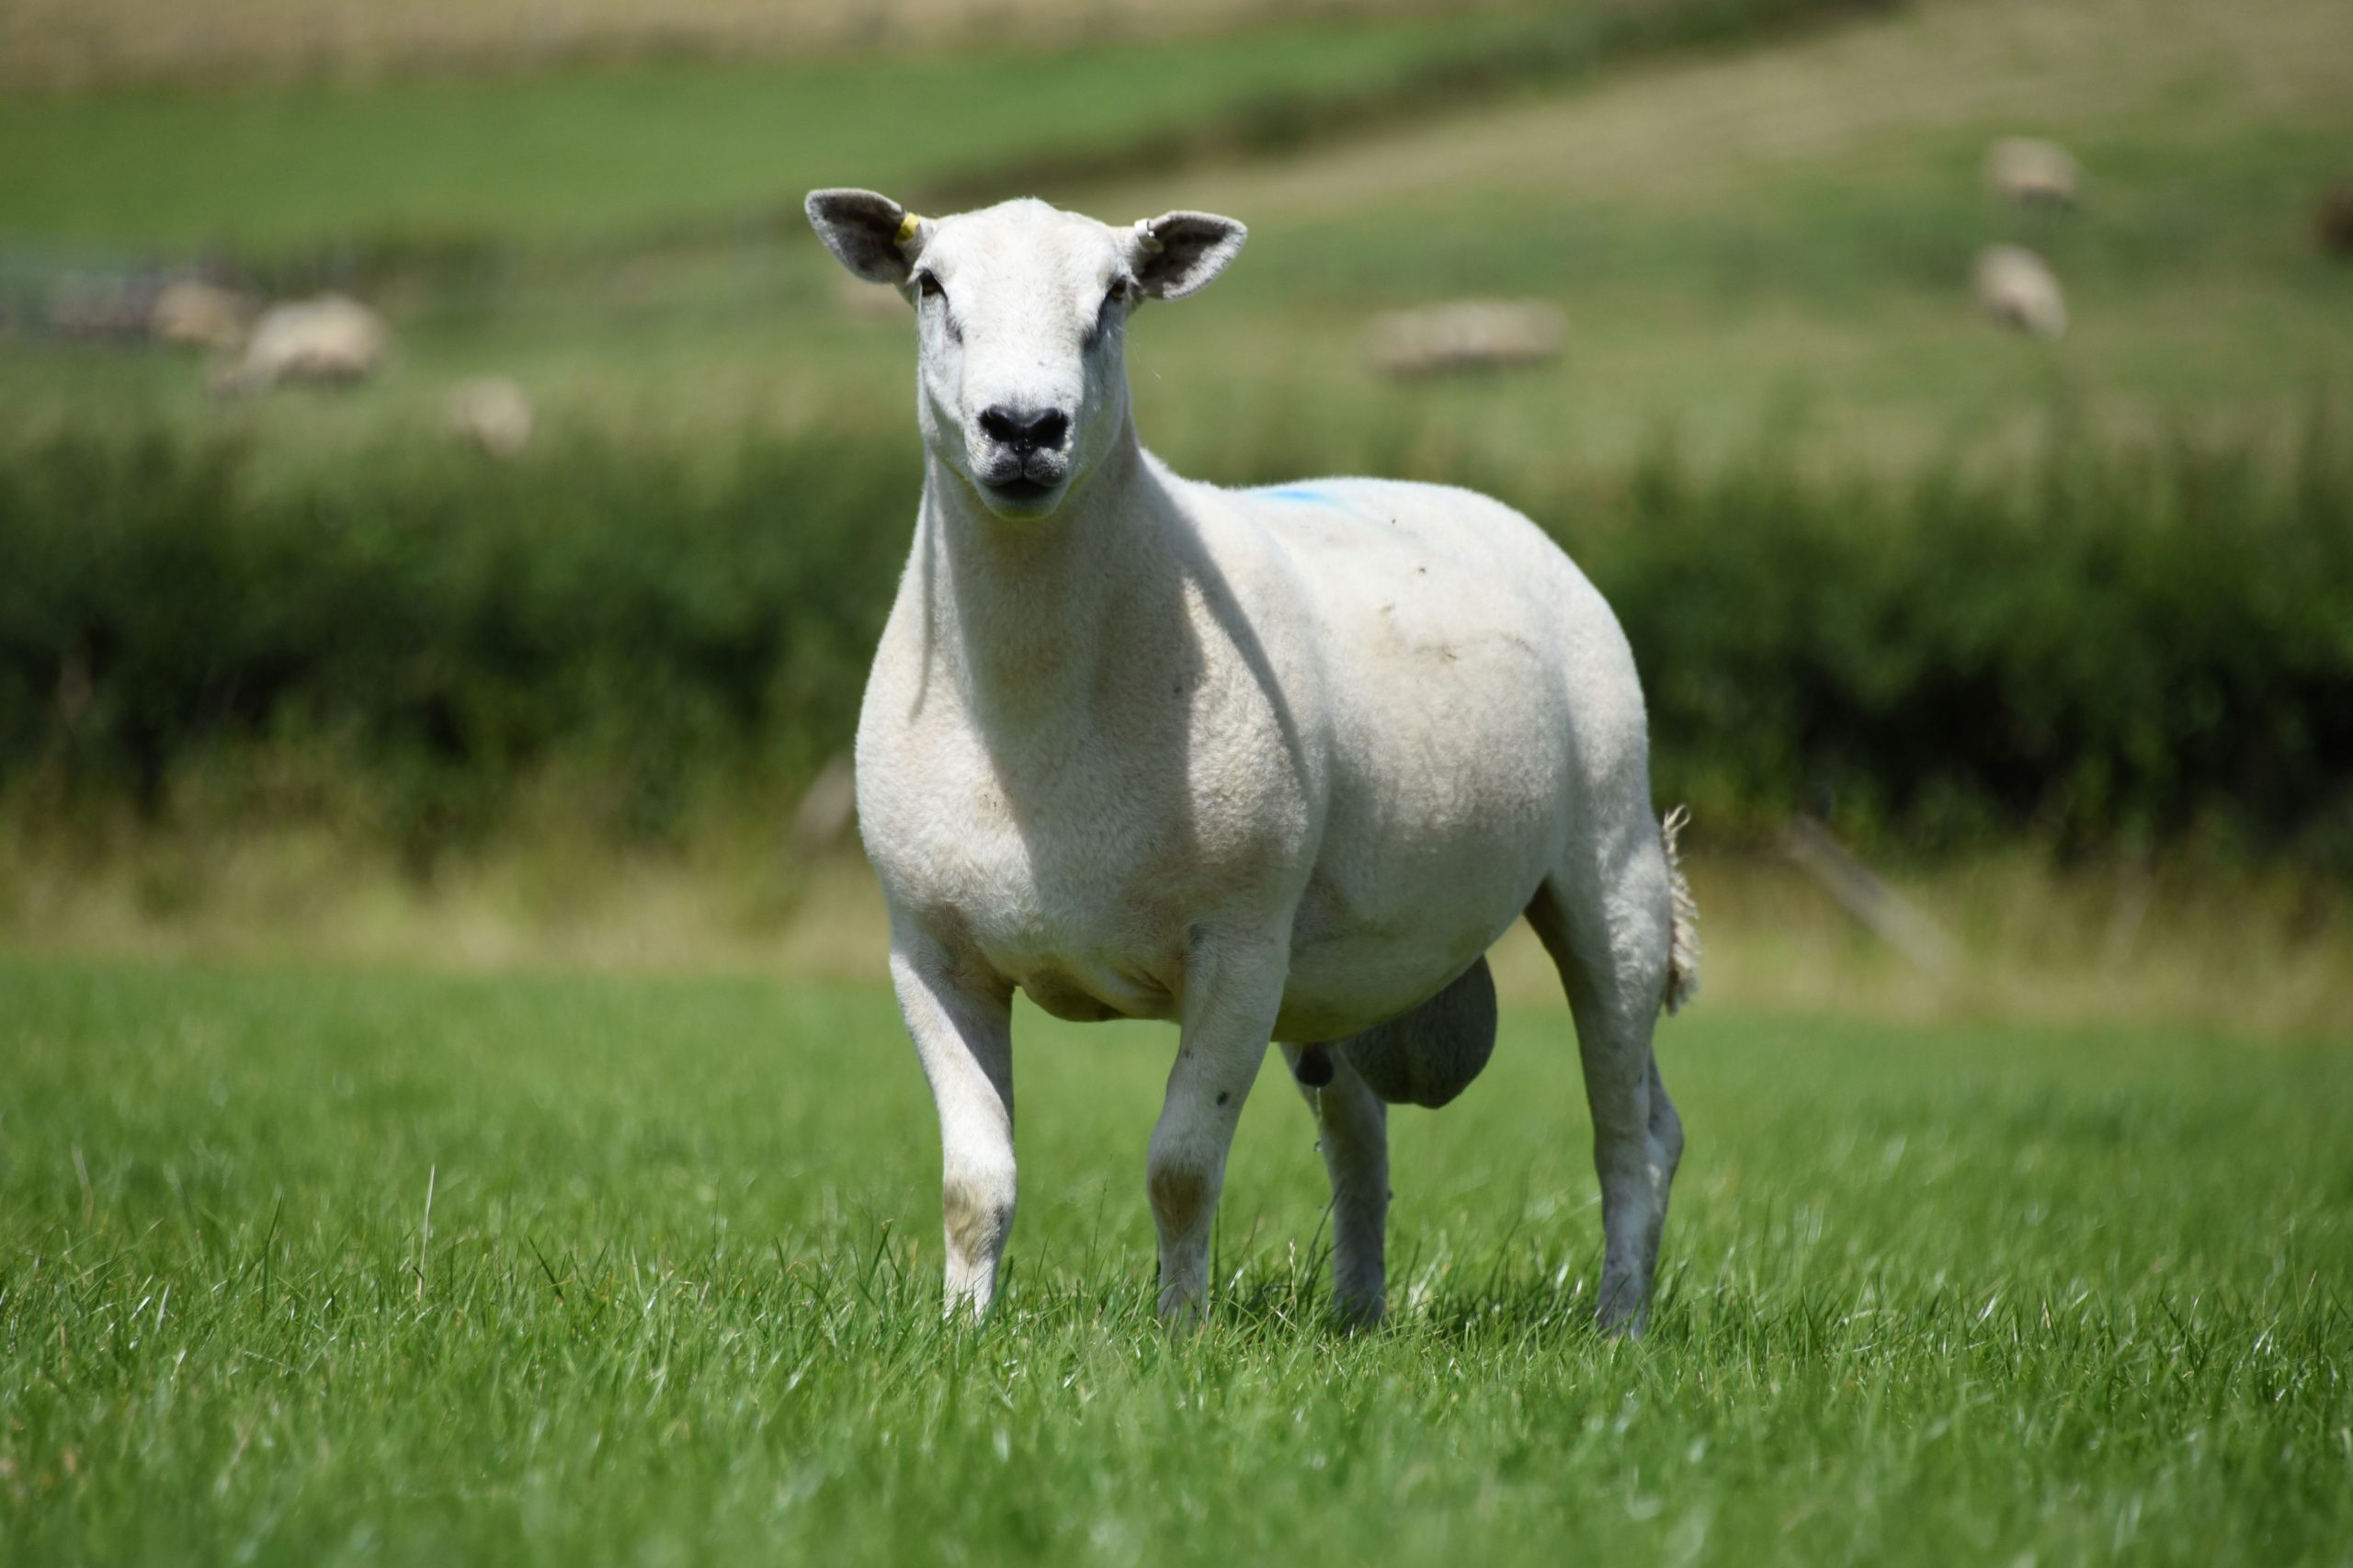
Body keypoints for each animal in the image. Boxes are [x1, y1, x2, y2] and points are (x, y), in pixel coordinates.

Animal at [807, 189, 1699, 1336]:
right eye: (930, 286)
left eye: (1116, 295)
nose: (1024, 428)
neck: (1034, 715)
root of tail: (1472, 500)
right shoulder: (931, 949)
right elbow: (975, 1181)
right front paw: (963, 1332)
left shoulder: (1236, 944)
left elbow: (1181, 1168)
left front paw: (1178, 1336)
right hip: (1339, 967)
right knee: (1362, 1141)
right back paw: (1357, 1314)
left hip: (1610, 859)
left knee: (1632, 1129)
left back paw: (1617, 1322)